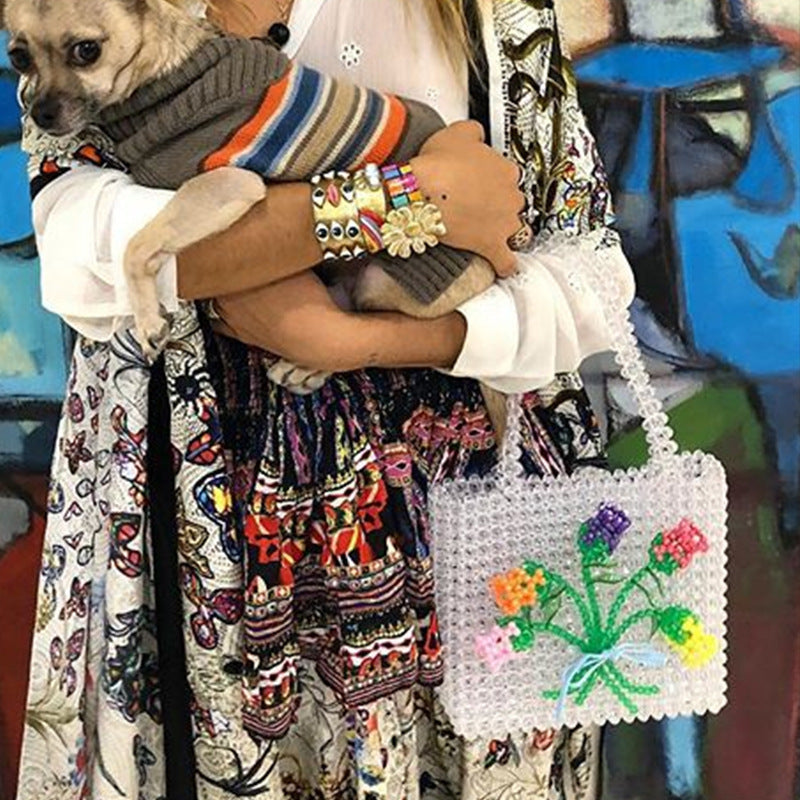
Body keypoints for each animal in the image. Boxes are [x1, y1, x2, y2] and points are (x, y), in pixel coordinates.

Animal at [3, 0, 510, 432]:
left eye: (87, 51)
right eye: (18, 57)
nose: (38, 112)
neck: (163, 78)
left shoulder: (227, 185)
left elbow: (137, 245)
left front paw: (147, 318)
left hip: (383, 282)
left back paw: (305, 367)